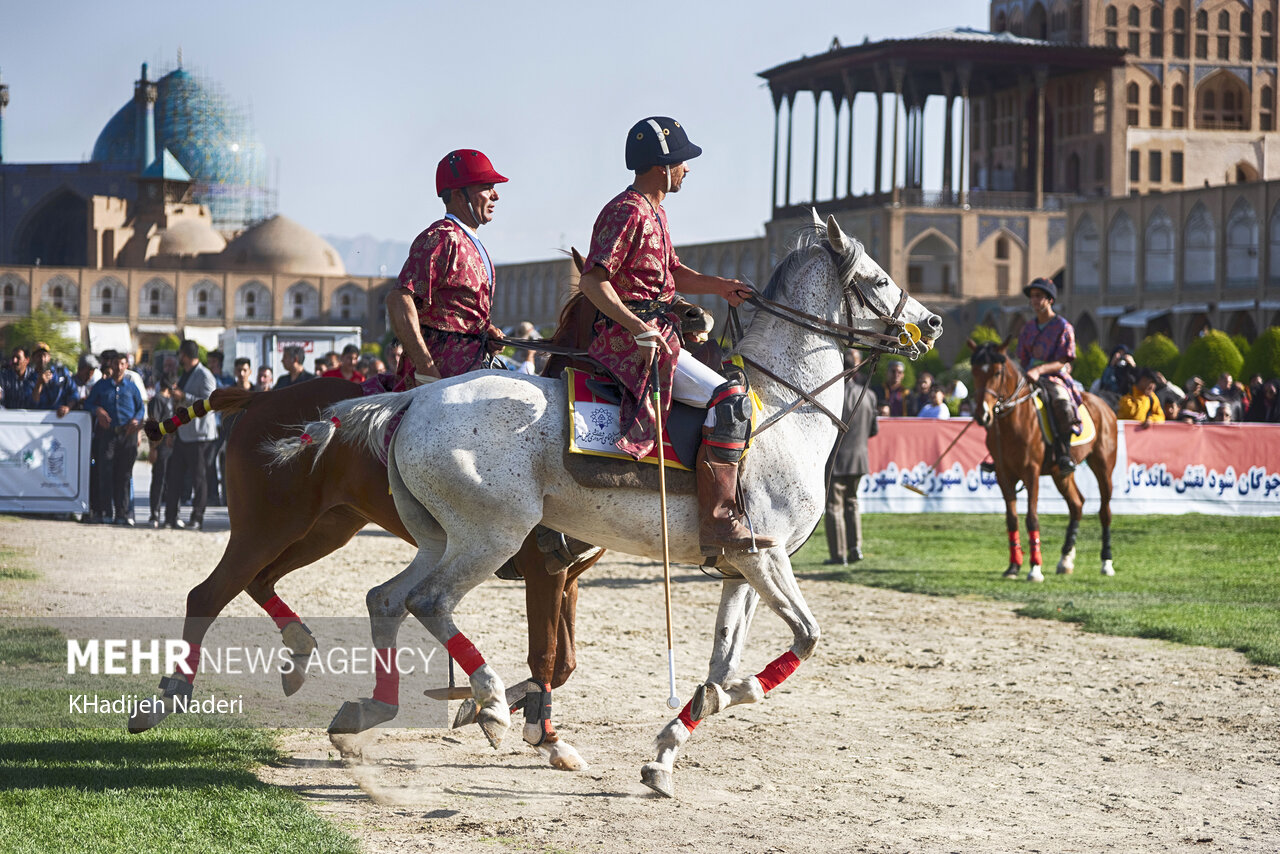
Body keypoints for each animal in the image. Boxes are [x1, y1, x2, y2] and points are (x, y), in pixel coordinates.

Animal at [275, 217, 942, 798]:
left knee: (386, 599)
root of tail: (414, 399)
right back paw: (486, 702)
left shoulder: (743, 567)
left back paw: (362, 718)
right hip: (489, 536)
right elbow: (802, 640)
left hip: (441, 536)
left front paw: (669, 751)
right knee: (428, 601)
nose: (932, 323)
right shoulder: (765, 557)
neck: (783, 405)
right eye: (880, 278)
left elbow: (723, 662)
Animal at [962, 338, 1116, 581]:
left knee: (1105, 512)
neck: (1014, 420)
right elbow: (1012, 519)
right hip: (1060, 473)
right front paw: (1013, 566)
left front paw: (1035, 568)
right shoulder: (1004, 475)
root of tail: (1104, 406)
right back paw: (1065, 559)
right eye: (975, 371)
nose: (982, 415)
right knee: (1077, 504)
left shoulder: (1031, 473)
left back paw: (1106, 562)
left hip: (1103, 467)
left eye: (997, 372)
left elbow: (1031, 518)